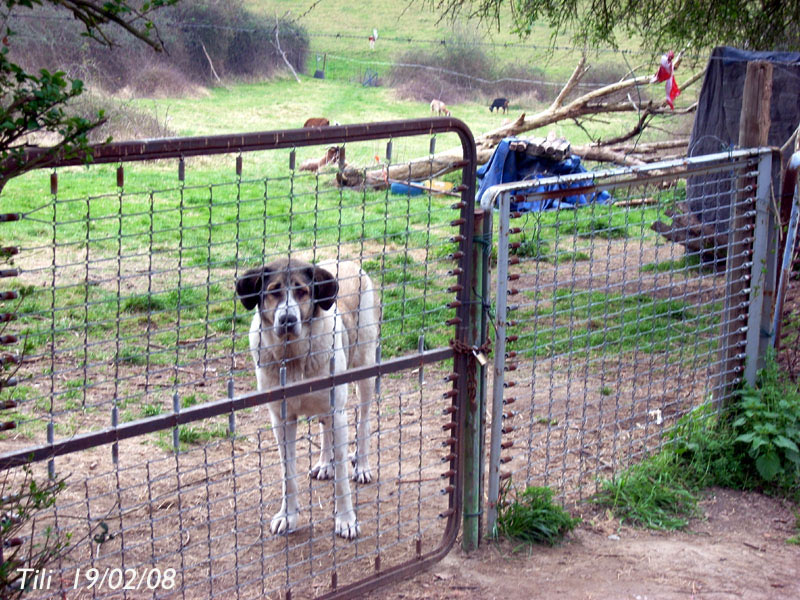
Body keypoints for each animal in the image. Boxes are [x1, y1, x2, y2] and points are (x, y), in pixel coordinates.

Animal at [234, 258, 378, 540]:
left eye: (302, 292)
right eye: (274, 291)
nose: (287, 319)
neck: (293, 357)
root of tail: (346, 260)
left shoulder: (338, 413)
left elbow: (342, 479)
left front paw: (346, 520)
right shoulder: (281, 419)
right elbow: (287, 474)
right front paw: (287, 516)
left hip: (365, 370)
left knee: (364, 421)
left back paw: (363, 466)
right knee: (325, 431)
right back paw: (324, 464)